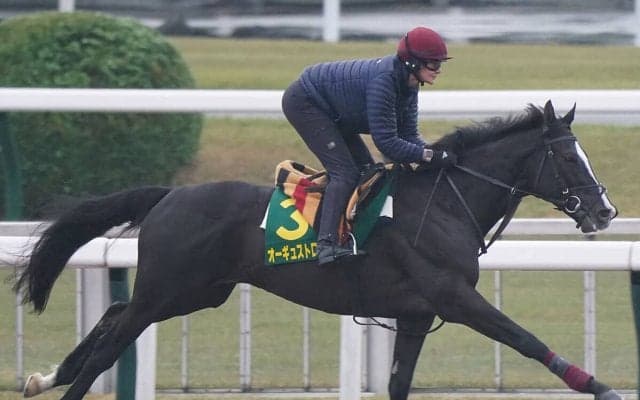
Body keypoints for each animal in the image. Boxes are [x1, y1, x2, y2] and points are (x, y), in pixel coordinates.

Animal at [12, 100, 620, 400]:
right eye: (568, 157)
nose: (606, 211)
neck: (446, 202)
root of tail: (169, 193)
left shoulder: (417, 314)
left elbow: (399, 383)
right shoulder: (453, 297)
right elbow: (526, 340)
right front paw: (603, 389)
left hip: (197, 291)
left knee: (114, 313)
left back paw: (46, 376)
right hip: (169, 288)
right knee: (112, 340)